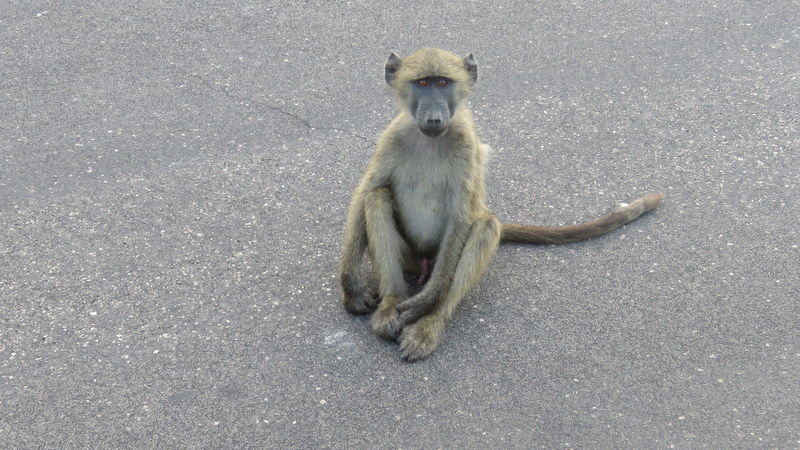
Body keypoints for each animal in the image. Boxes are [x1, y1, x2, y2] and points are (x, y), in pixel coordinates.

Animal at [339, 48, 663, 362]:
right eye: (422, 83)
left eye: (442, 83)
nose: (433, 118)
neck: (429, 139)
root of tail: (423, 264)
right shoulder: (391, 137)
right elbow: (365, 192)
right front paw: (352, 287)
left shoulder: (465, 145)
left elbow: (461, 217)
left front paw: (428, 302)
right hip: (408, 257)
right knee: (377, 198)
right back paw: (390, 306)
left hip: (440, 258)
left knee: (485, 225)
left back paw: (430, 323)